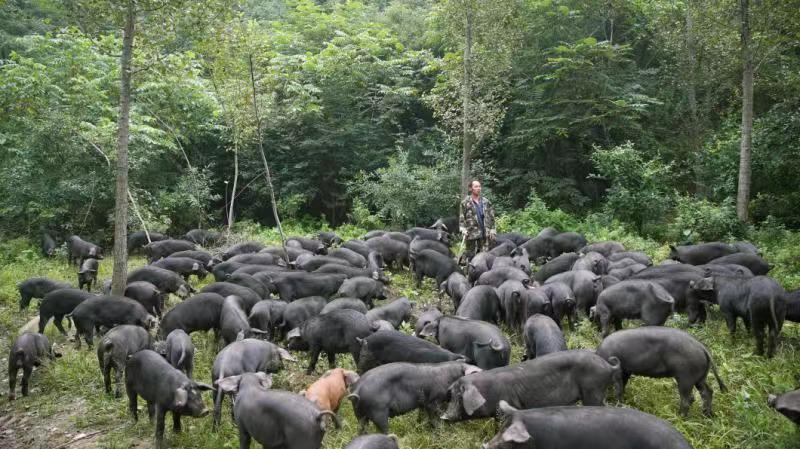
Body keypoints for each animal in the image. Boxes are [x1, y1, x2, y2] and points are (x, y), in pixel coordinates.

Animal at [346, 360, 478, 430]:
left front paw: (419, 426)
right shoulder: (433, 401)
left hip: (359, 414)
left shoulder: (423, 402)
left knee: (361, 430)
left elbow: (421, 415)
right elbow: (433, 416)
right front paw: (440, 429)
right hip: (379, 411)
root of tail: (358, 389)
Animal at [440, 350, 620, 420]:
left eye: (458, 396)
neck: (488, 391)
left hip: (593, 390)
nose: (444, 416)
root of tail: (608, 366)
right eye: (452, 394)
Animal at [596, 326, 728, 416]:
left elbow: (618, 389)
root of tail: (702, 347)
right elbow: (622, 386)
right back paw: (707, 415)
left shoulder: (618, 372)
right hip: (700, 377)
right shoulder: (626, 371)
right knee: (707, 392)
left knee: (688, 399)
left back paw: (680, 416)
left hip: (685, 377)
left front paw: (618, 404)